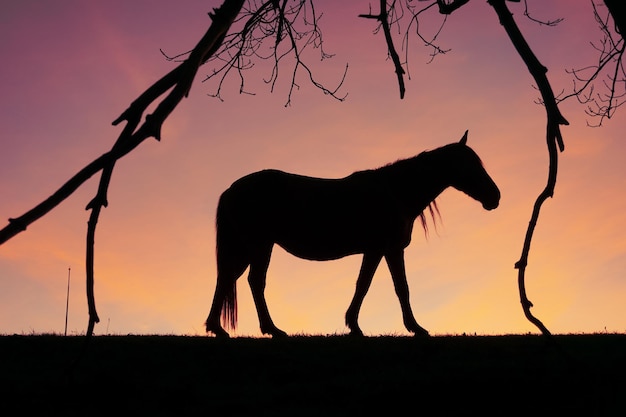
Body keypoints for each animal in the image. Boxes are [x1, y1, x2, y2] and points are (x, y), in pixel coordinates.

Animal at [205, 131, 498, 338]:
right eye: (470, 165)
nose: (495, 197)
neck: (395, 192)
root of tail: (231, 189)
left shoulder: (381, 250)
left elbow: (378, 286)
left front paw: (359, 325)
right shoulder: (385, 249)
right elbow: (389, 287)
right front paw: (410, 328)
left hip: (248, 247)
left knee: (228, 277)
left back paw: (218, 328)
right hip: (259, 245)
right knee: (253, 281)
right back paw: (271, 330)